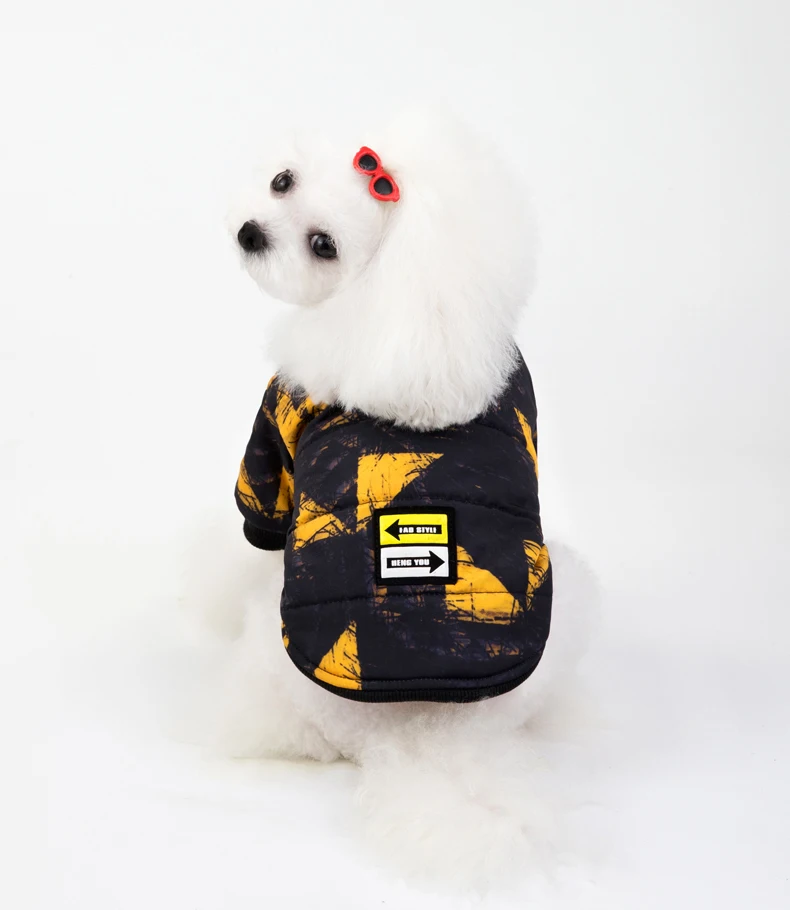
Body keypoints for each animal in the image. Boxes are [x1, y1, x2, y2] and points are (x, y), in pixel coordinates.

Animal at [215, 108, 598, 889]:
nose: (249, 232)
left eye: (323, 246)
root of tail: (428, 731)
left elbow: (246, 537)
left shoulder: (272, 449)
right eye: (282, 180)